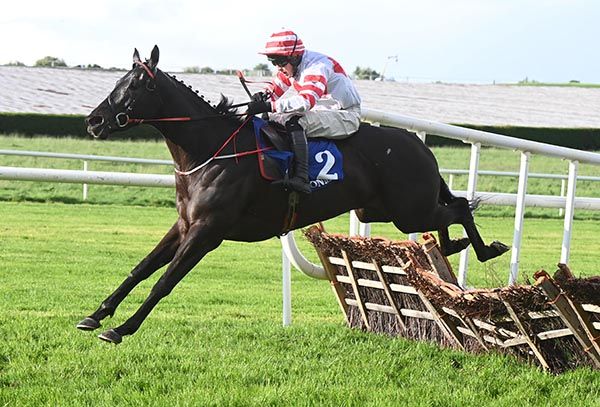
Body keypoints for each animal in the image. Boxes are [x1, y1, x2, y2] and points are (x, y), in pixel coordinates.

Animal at [78, 46, 508, 344]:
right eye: (117, 82)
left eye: (136, 85)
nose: (94, 121)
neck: (210, 150)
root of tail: (418, 145)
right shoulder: (184, 225)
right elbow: (140, 269)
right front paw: (97, 314)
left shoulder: (207, 232)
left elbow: (163, 281)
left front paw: (121, 328)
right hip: (379, 210)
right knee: (451, 209)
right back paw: (451, 247)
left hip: (408, 210)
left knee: (458, 208)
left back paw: (484, 249)